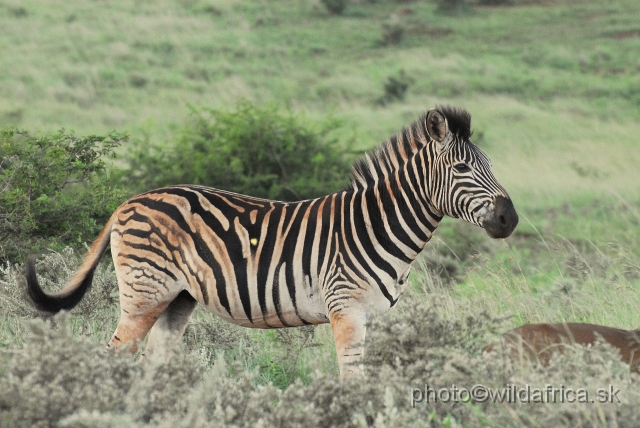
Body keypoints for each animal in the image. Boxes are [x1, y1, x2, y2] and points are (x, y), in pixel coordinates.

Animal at [26, 106, 516, 378]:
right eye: (461, 169)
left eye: (491, 165)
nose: (509, 219)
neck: (377, 225)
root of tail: (129, 200)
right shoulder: (346, 311)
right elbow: (353, 383)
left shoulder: (368, 317)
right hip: (145, 292)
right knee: (116, 357)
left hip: (177, 298)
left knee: (149, 363)